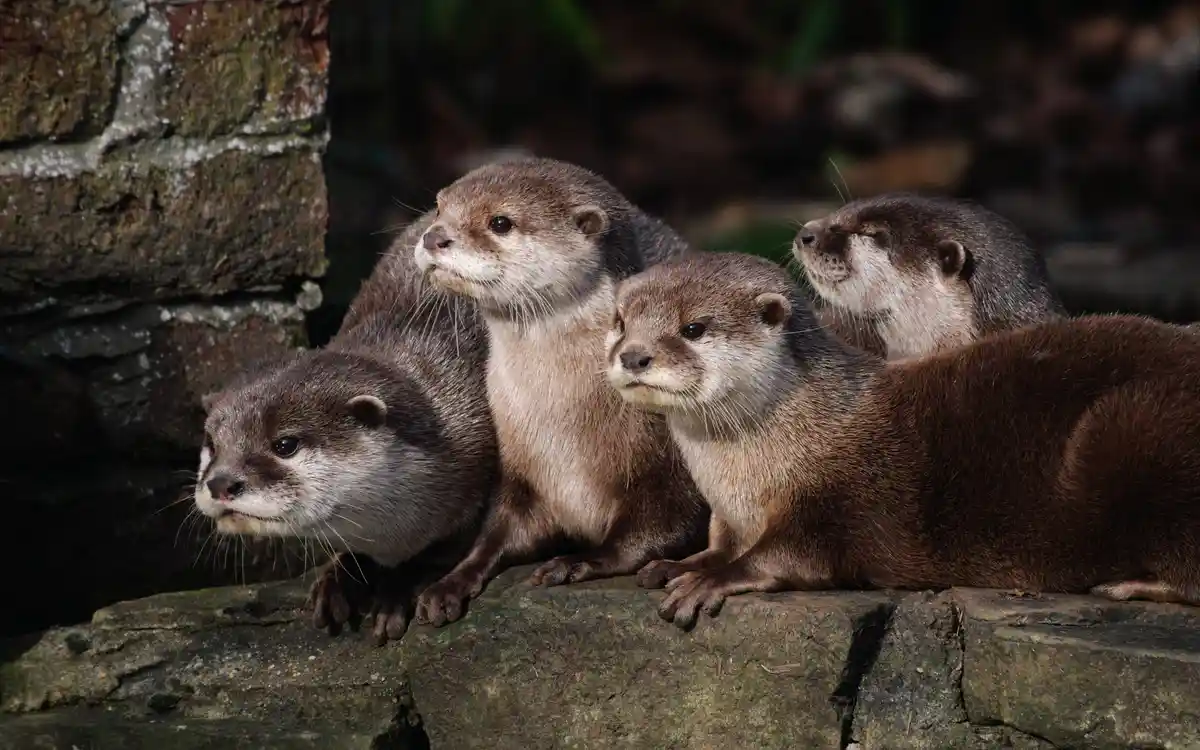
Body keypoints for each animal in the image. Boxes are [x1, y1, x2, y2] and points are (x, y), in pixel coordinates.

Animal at [410, 156, 709, 627]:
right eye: (439, 207)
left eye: (500, 222)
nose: (433, 236)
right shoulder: (521, 473)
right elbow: (498, 533)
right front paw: (448, 583)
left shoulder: (667, 476)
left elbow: (649, 533)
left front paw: (574, 562)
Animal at [609, 250, 1200, 630]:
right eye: (619, 321)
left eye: (694, 328)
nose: (633, 355)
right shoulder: (731, 516)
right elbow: (720, 544)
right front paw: (683, 564)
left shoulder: (834, 507)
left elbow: (791, 557)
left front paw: (713, 580)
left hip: (1133, 431)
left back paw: (1130, 584)